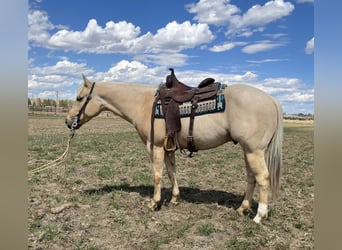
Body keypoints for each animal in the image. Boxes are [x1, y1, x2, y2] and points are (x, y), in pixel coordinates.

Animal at [65, 73, 284, 223]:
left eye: (79, 98)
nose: (68, 121)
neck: (143, 103)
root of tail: (271, 99)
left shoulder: (155, 146)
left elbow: (157, 175)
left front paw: (154, 203)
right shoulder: (168, 148)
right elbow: (171, 173)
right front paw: (174, 199)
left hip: (254, 151)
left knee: (263, 178)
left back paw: (259, 216)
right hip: (248, 151)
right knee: (251, 178)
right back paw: (242, 208)